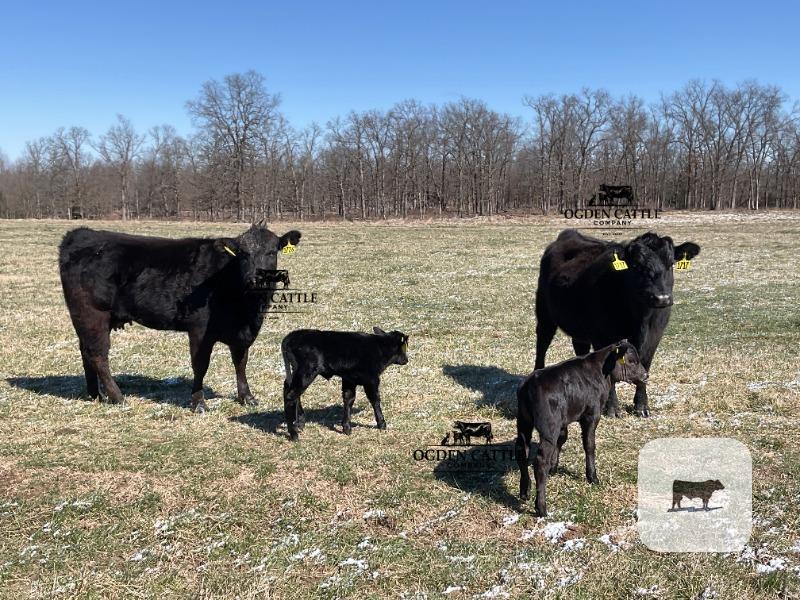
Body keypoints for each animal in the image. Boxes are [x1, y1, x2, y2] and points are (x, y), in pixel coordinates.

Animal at [58, 222, 301, 412]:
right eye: (242, 254)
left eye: (272, 252)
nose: (254, 279)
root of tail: (80, 233)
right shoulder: (200, 330)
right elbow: (200, 365)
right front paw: (199, 403)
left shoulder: (242, 332)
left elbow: (241, 363)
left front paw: (247, 397)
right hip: (92, 315)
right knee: (98, 354)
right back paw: (117, 397)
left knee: (85, 351)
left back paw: (95, 394)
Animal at [280, 327, 409, 441]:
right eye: (404, 348)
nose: (406, 360)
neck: (380, 348)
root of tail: (290, 337)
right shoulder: (371, 379)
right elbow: (375, 400)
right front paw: (381, 423)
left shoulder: (349, 379)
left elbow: (349, 399)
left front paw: (346, 427)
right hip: (307, 371)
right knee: (291, 395)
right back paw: (294, 434)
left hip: (296, 372)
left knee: (290, 391)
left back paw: (299, 423)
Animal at [516, 340, 647, 516]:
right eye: (632, 360)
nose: (645, 375)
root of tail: (529, 383)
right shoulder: (591, 415)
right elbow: (589, 445)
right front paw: (593, 477)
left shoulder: (563, 421)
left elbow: (562, 438)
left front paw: (554, 468)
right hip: (548, 427)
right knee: (540, 461)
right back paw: (541, 507)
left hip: (524, 422)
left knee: (521, 450)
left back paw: (525, 491)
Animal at [534, 229, 700, 418]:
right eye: (637, 266)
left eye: (671, 263)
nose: (661, 298)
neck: (640, 318)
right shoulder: (602, 336)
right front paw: (612, 408)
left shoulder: (655, 335)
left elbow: (645, 364)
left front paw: (642, 406)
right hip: (544, 313)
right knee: (542, 343)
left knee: (580, 347)